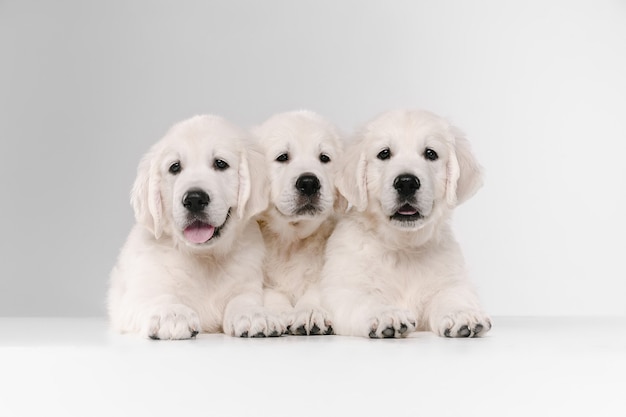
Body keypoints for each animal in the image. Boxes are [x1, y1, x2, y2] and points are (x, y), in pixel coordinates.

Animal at [107, 114, 282, 338]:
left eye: (220, 164)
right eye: (174, 167)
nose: (194, 199)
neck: (204, 258)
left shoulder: (248, 281)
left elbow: (242, 299)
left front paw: (253, 314)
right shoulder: (132, 298)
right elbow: (156, 297)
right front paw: (171, 314)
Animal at [251, 110, 344, 334]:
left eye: (324, 158)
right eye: (282, 157)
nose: (309, 183)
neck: (292, 241)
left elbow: (316, 290)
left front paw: (310, 312)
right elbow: (272, 293)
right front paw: (279, 313)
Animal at [320, 110, 490, 338]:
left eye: (430, 154)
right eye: (384, 154)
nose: (407, 182)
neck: (403, 247)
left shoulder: (450, 282)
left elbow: (452, 296)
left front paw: (461, 314)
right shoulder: (343, 289)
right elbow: (365, 301)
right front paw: (387, 315)